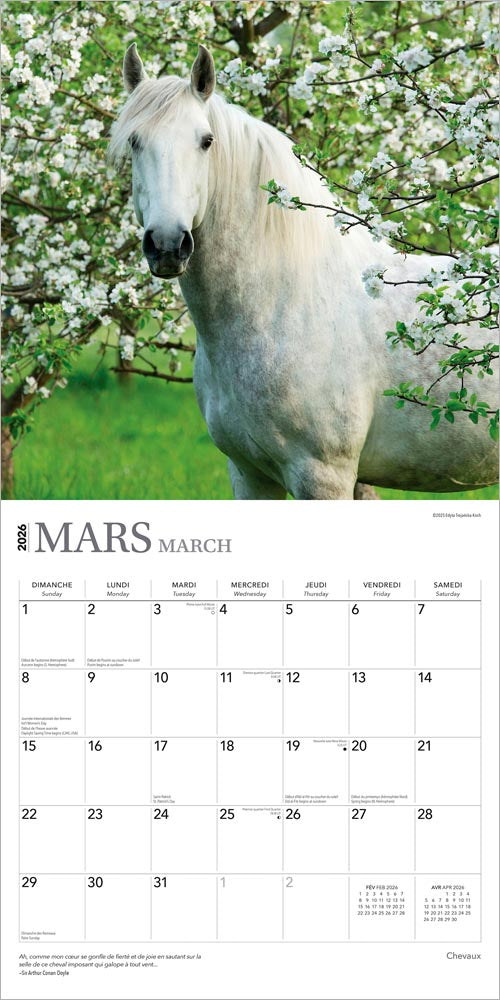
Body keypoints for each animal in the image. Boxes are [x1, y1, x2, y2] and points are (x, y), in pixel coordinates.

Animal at [109, 44, 498, 500]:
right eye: (135, 141)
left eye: (206, 141)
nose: (168, 244)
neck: (281, 303)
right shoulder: (249, 475)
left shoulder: (323, 476)